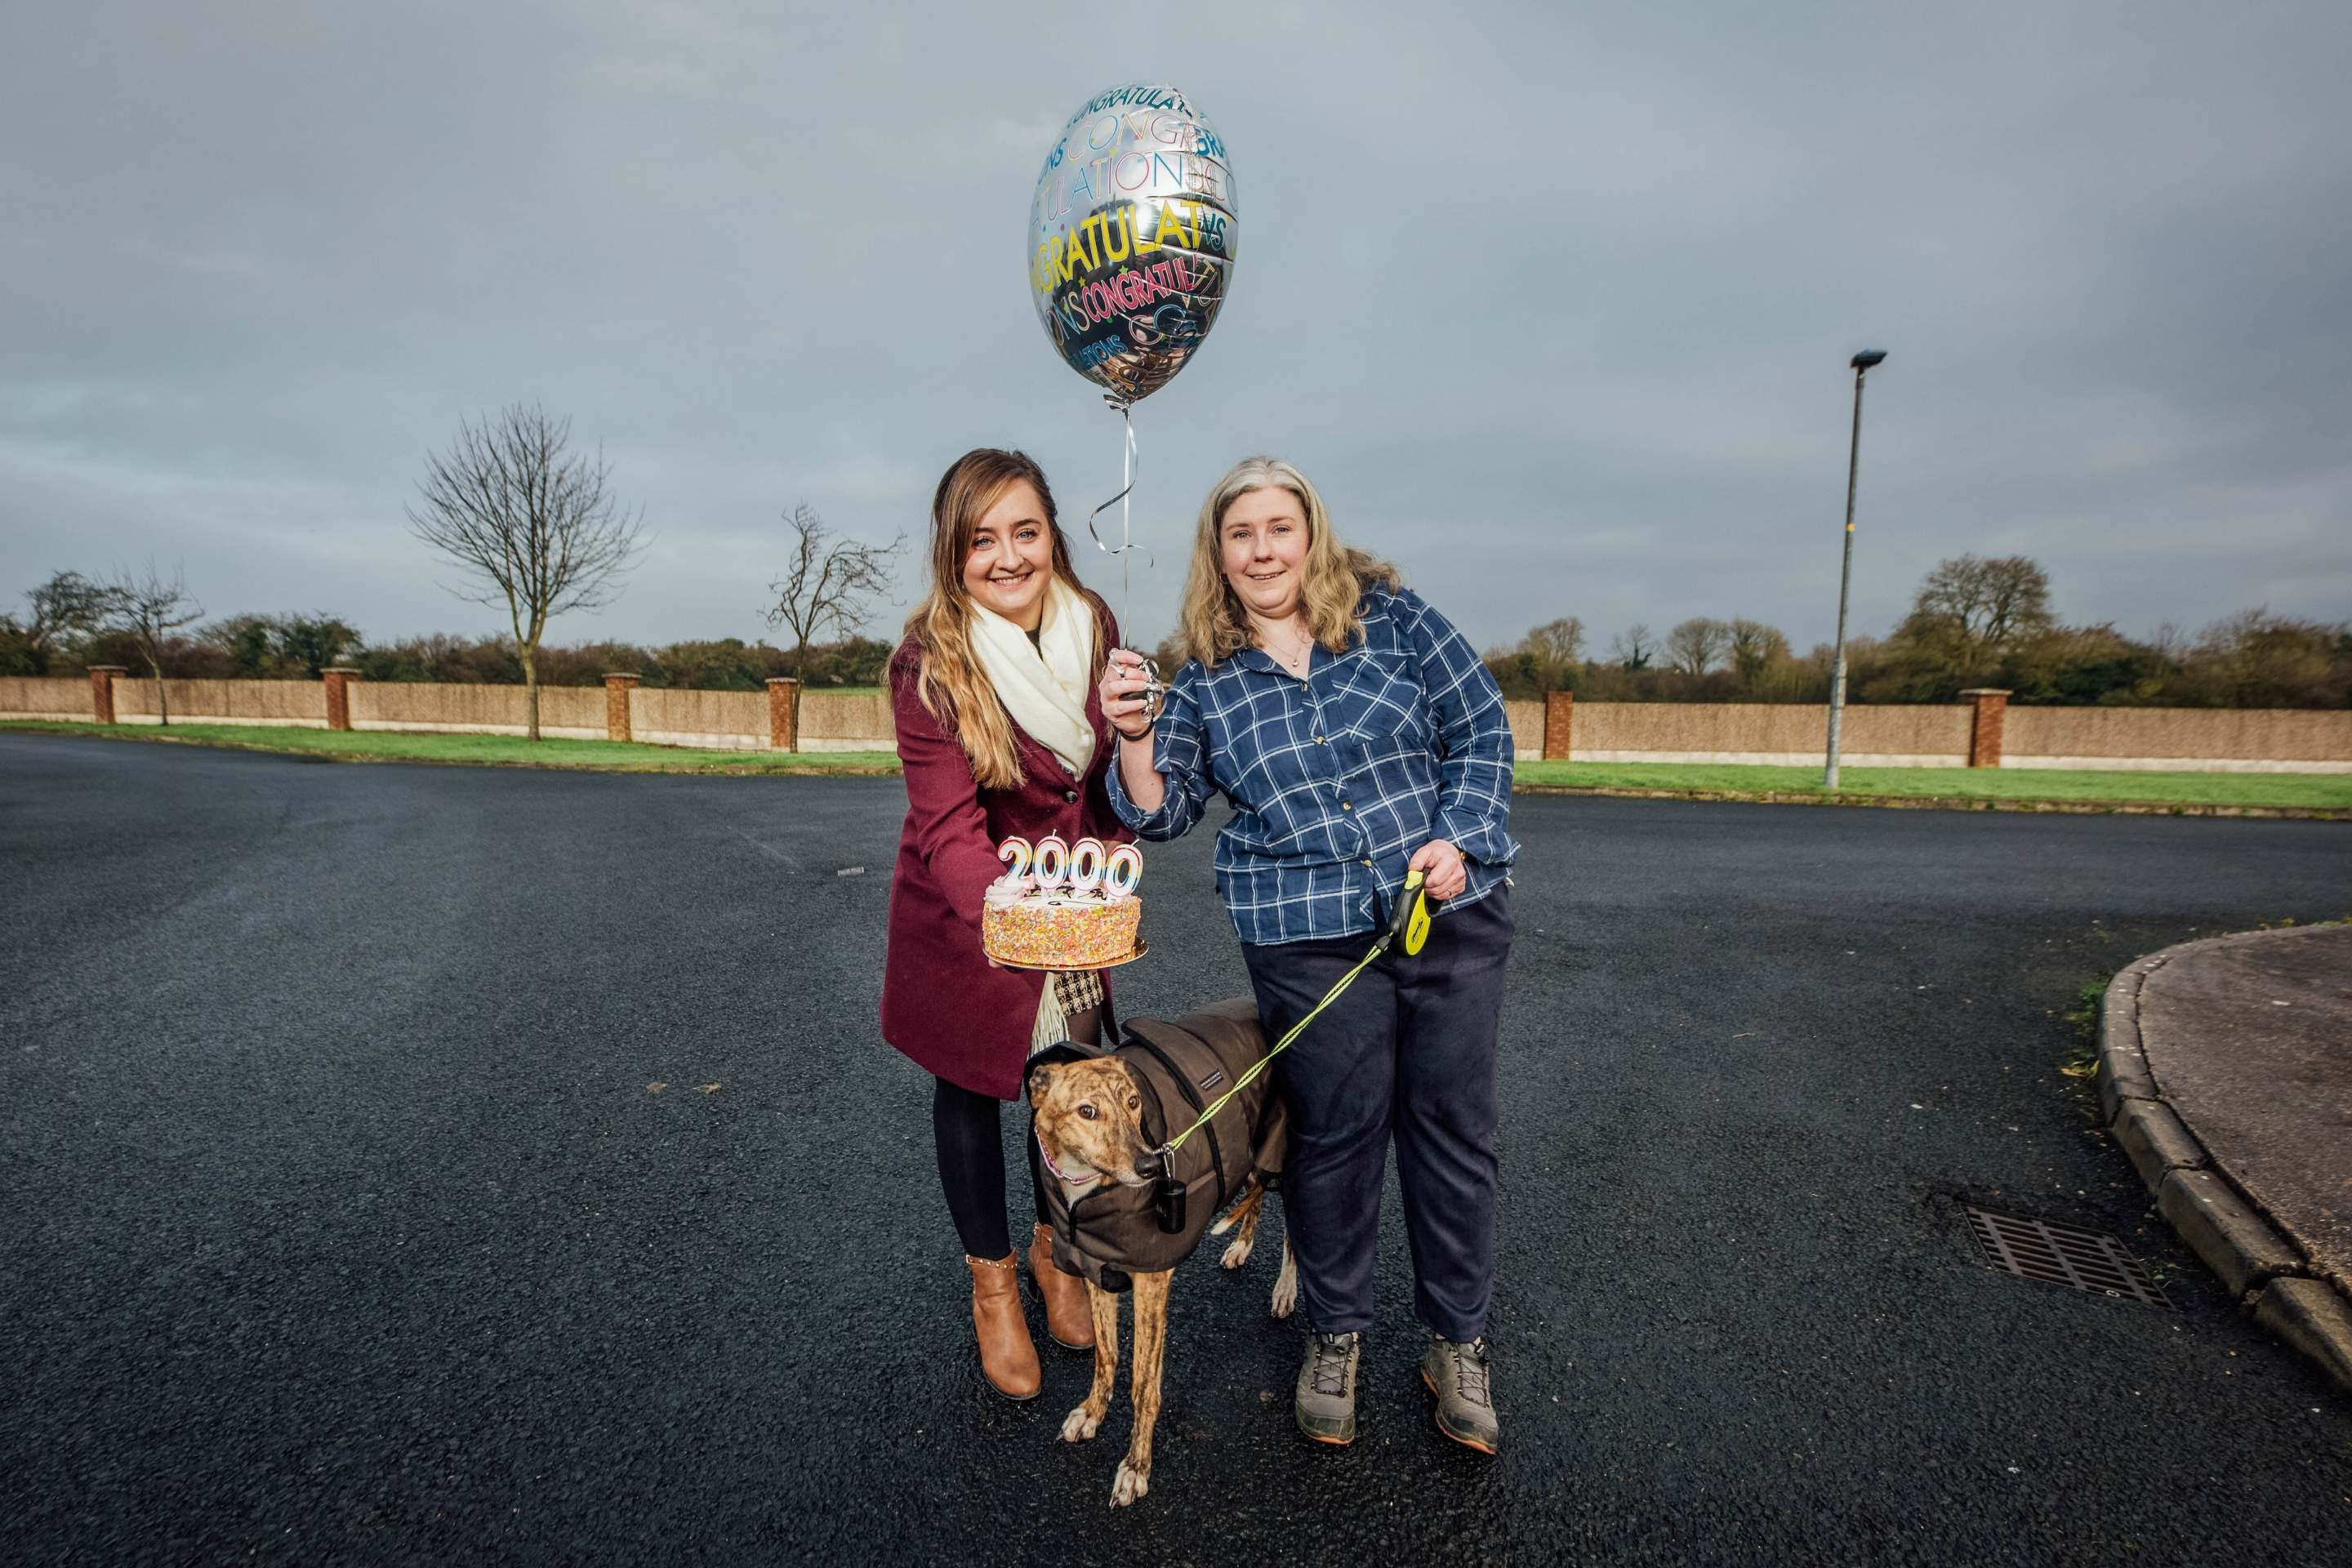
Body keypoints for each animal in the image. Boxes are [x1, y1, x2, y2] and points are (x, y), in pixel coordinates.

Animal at [1030, 1053, 1298, 1504]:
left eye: (1134, 1101)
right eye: (1087, 1111)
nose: (1151, 1166)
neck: (1087, 1189)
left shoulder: (1151, 1284)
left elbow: (1143, 1385)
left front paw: (1136, 1466)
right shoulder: (1096, 1270)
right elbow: (1106, 1355)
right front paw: (1092, 1413)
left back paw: (1286, 1288)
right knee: (1256, 1189)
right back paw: (1241, 1246)